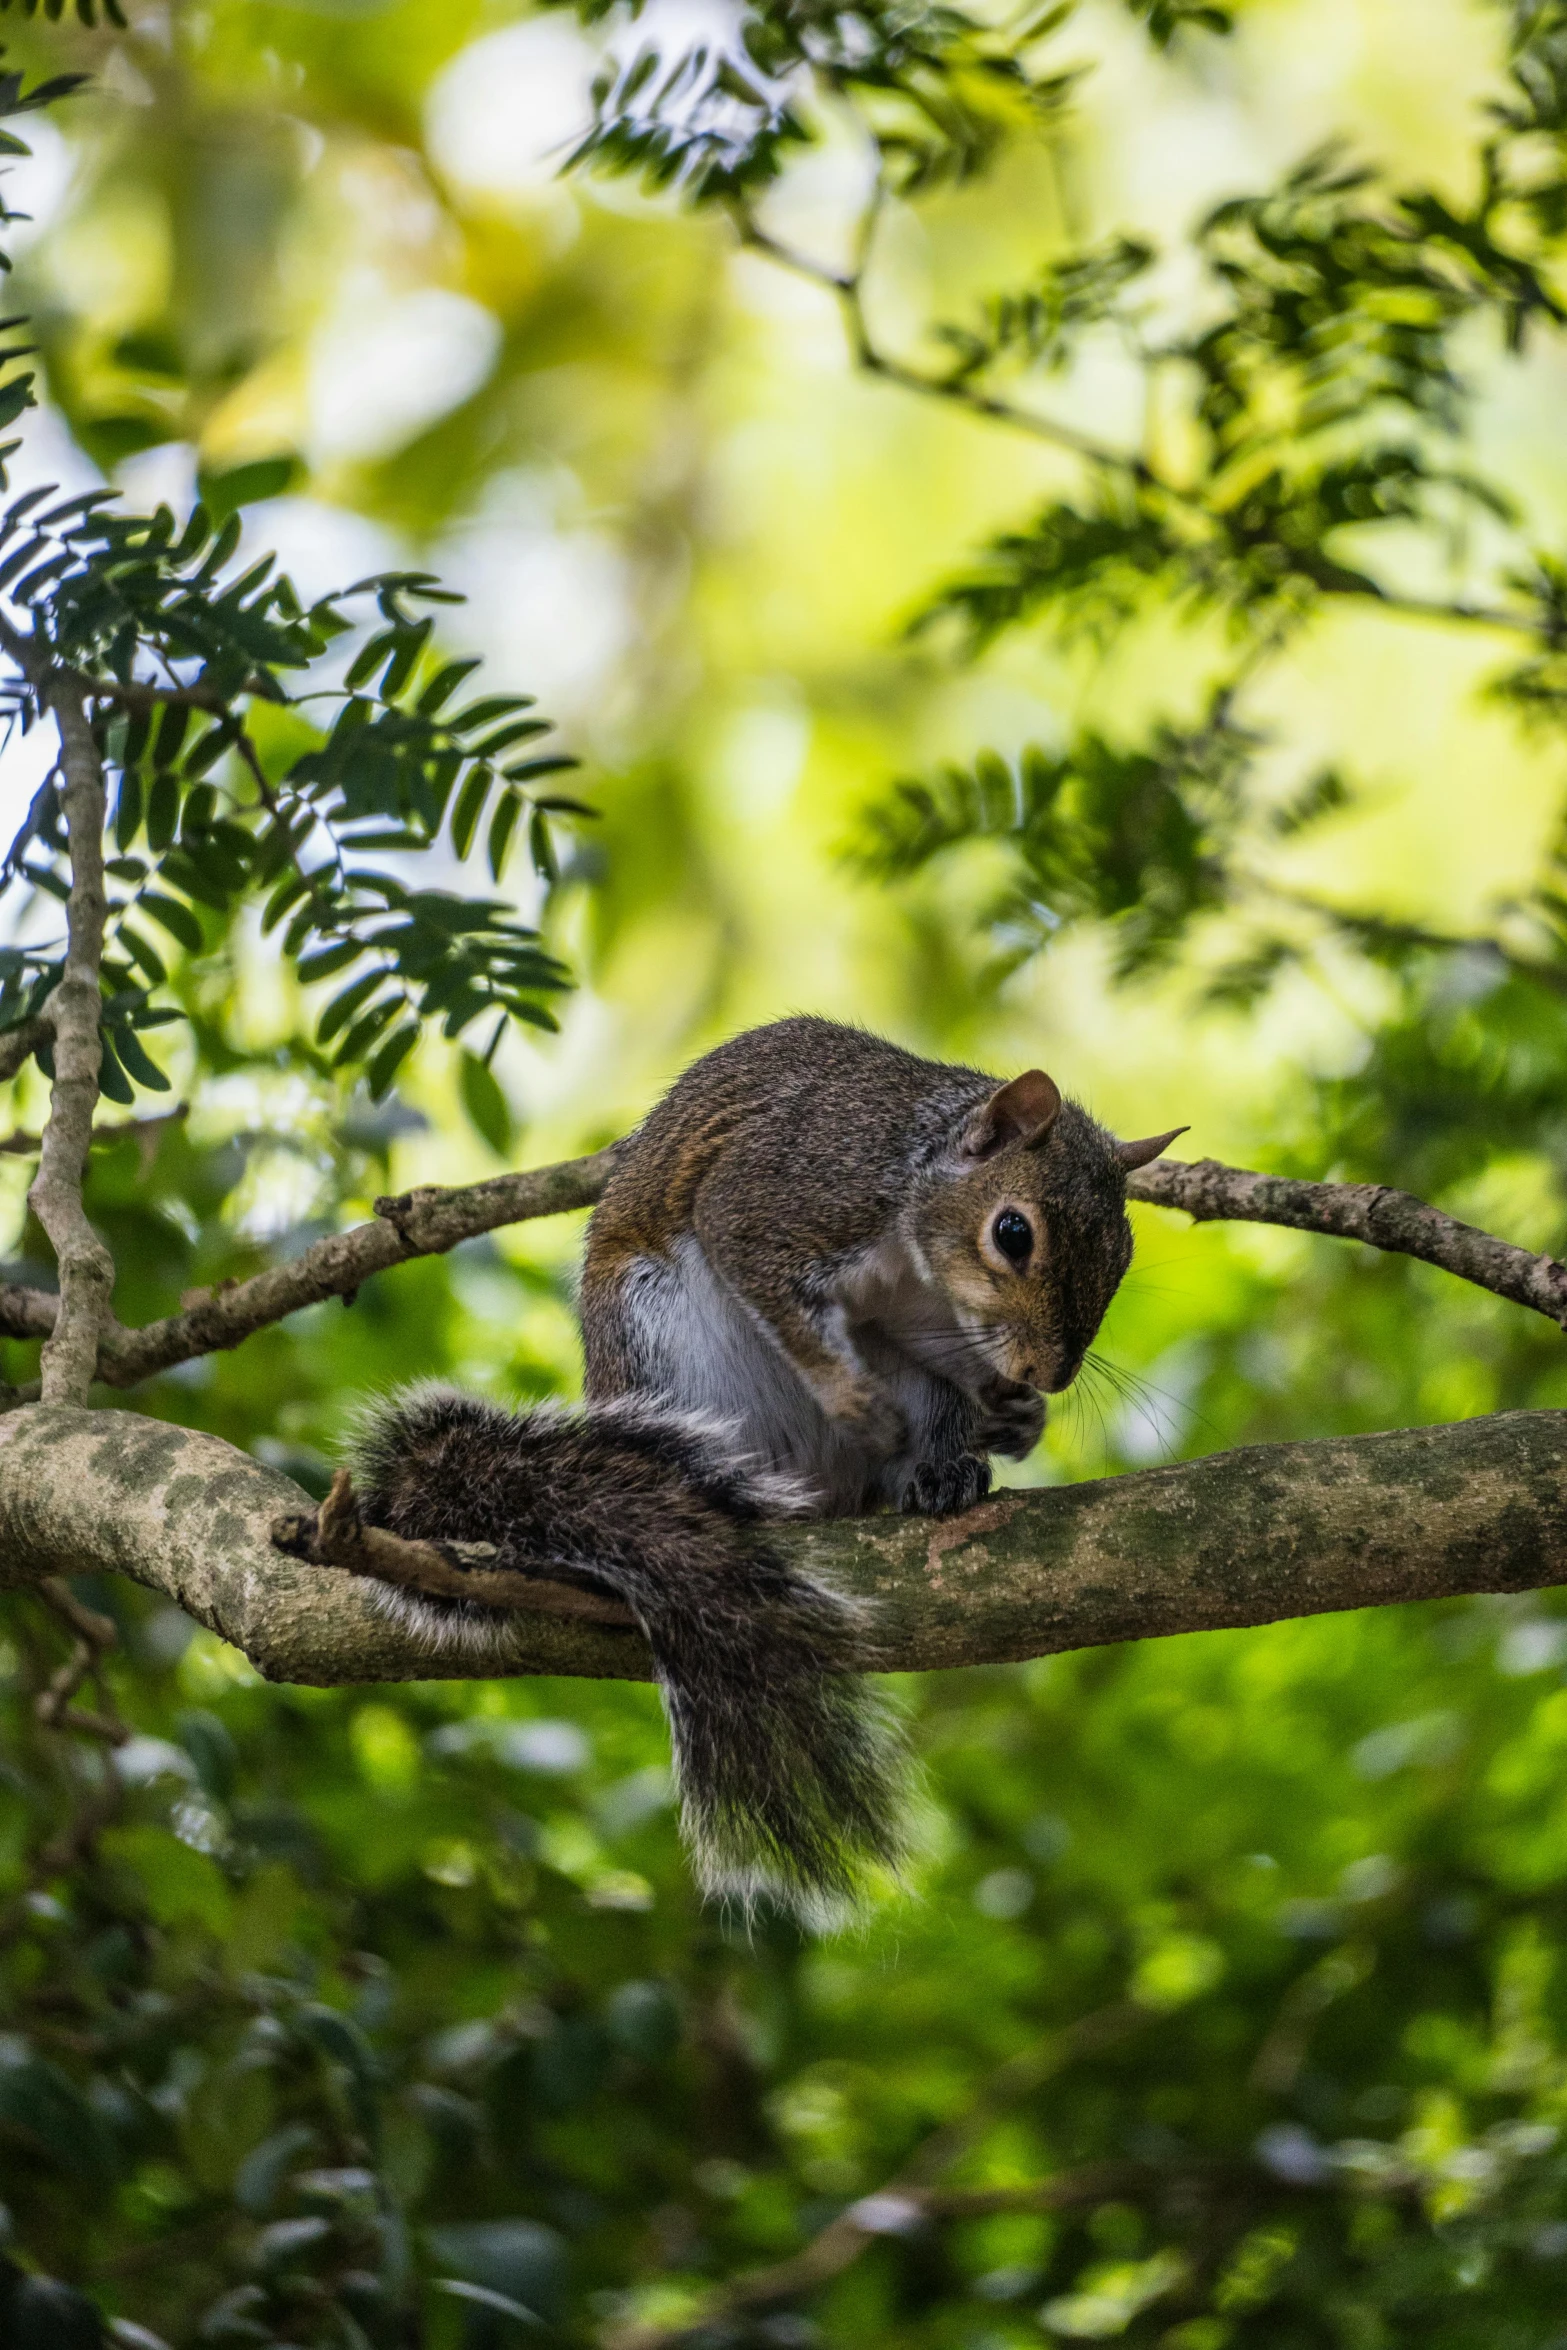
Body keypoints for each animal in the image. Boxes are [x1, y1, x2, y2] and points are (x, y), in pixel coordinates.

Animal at [345, 1019, 1174, 1917]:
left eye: (1122, 1253)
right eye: (1013, 1233)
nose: (1046, 1375)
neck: (915, 1233)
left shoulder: (928, 1331)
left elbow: (943, 1366)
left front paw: (1011, 1418)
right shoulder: (787, 1191)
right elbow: (764, 1275)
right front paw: (853, 1396)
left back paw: (935, 1475)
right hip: (655, 1333)